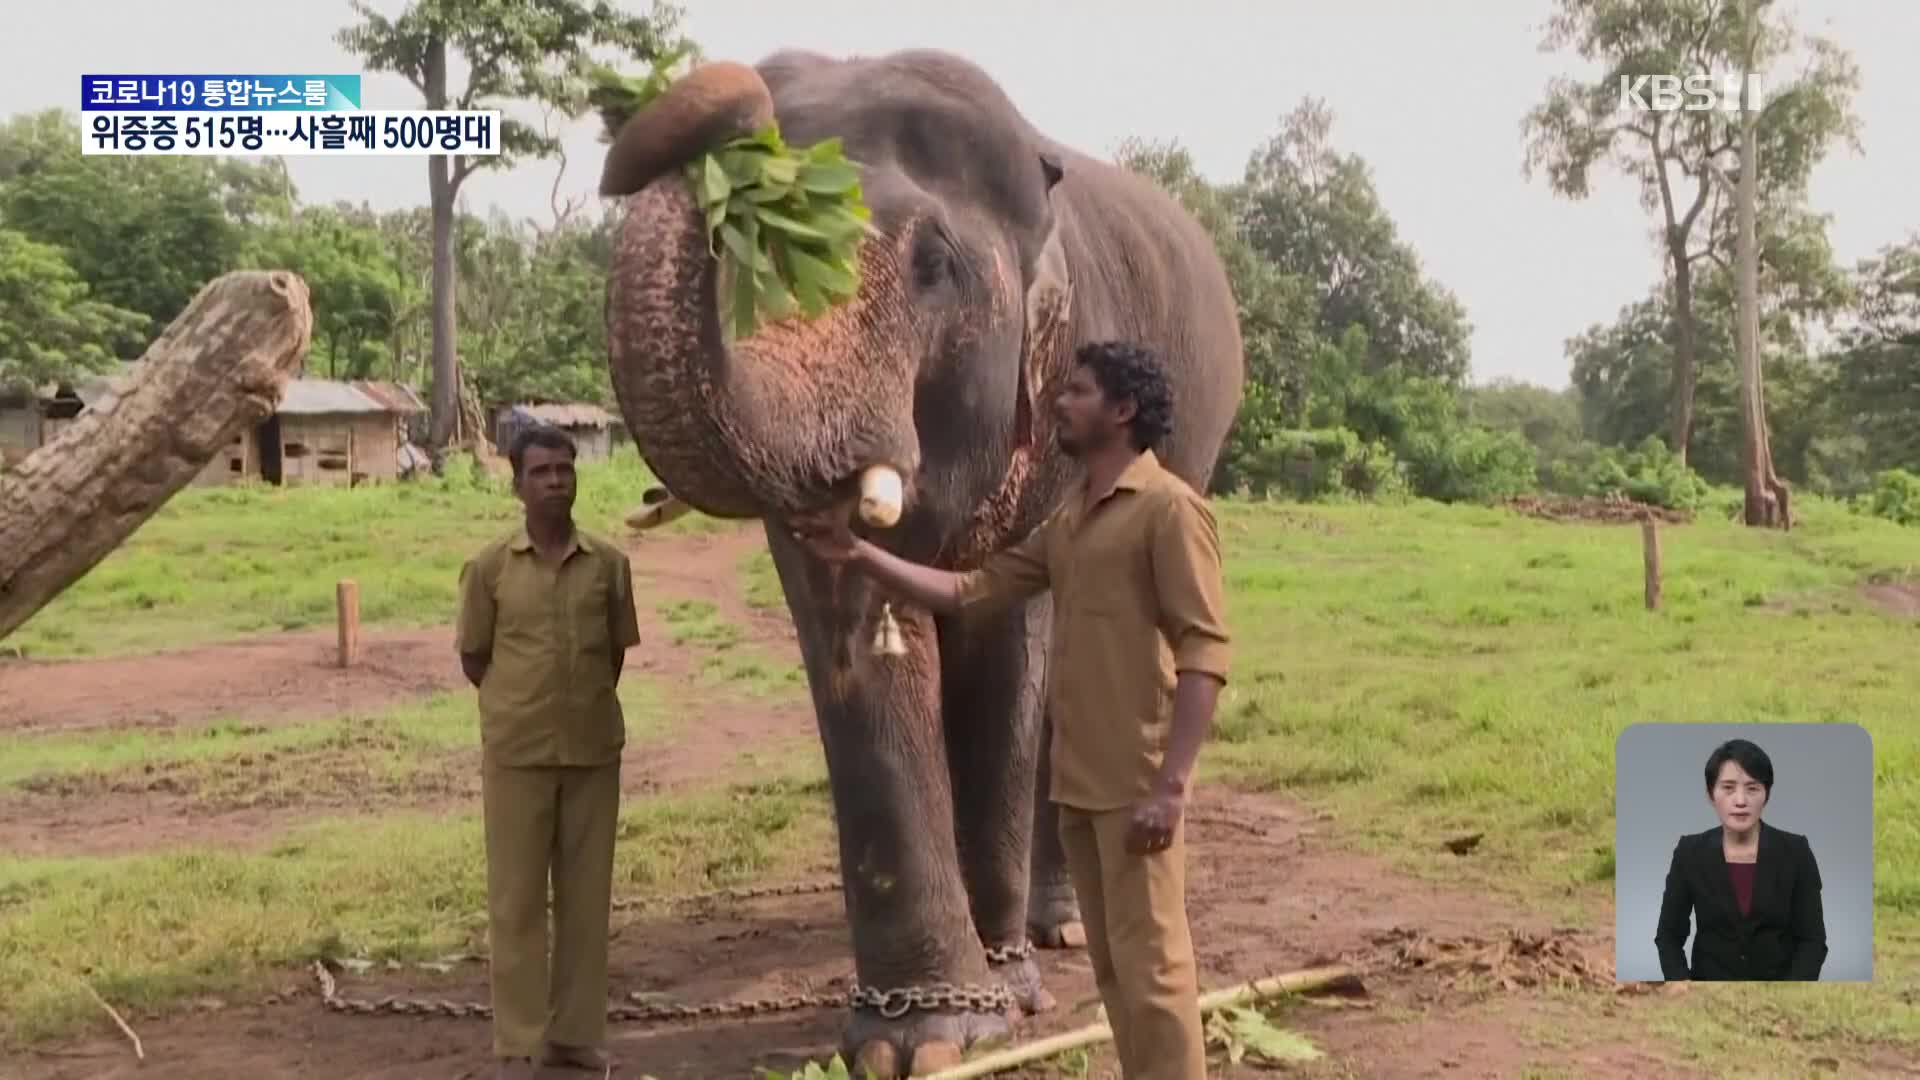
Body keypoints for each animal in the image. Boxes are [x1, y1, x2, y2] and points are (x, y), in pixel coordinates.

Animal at [599, 48, 1244, 1068]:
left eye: (933, 266)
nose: (734, 105)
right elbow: (856, 634)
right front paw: (915, 1039)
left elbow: (1008, 639)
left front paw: (1000, 999)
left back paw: (1059, 928)